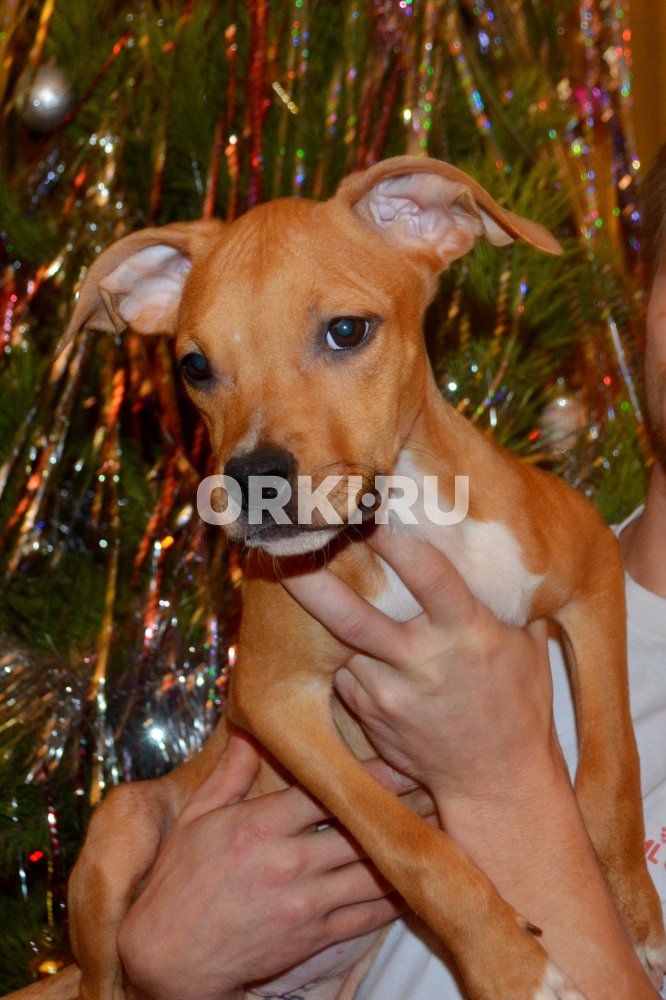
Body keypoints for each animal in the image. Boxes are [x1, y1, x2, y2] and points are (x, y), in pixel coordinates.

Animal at [8, 156, 666, 1000]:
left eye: (346, 331)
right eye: (195, 366)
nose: (252, 479)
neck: (409, 527)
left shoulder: (592, 572)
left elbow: (613, 768)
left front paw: (639, 923)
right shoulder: (273, 697)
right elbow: (408, 846)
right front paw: (513, 967)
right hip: (117, 830)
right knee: (108, 973)